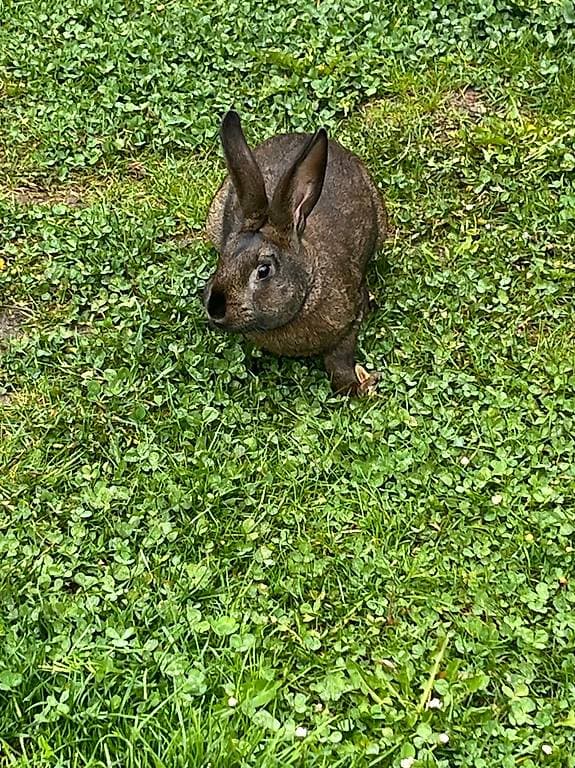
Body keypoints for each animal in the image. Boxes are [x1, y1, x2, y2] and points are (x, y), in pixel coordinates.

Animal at [204, 110, 387, 395]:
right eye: (223, 258)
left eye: (263, 270)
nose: (215, 309)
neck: (309, 289)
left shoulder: (352, 314)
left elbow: (339, 358)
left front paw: (356, 386)